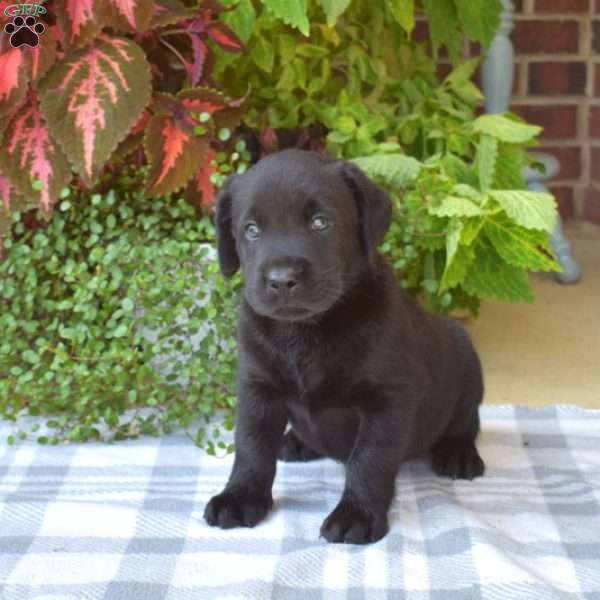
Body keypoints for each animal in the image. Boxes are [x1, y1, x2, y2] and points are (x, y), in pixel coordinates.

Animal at [204, 149, 486, 544]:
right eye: (251, 229)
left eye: (320, 223)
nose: (281, 280)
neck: (304, 332)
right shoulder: (257, 387)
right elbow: (251, 446)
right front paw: (240, 496)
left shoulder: (388, 401)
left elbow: (370, 459)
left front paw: (357, 513)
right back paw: (297, 442)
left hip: (466, 366)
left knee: (467, 421)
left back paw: (458, 452)